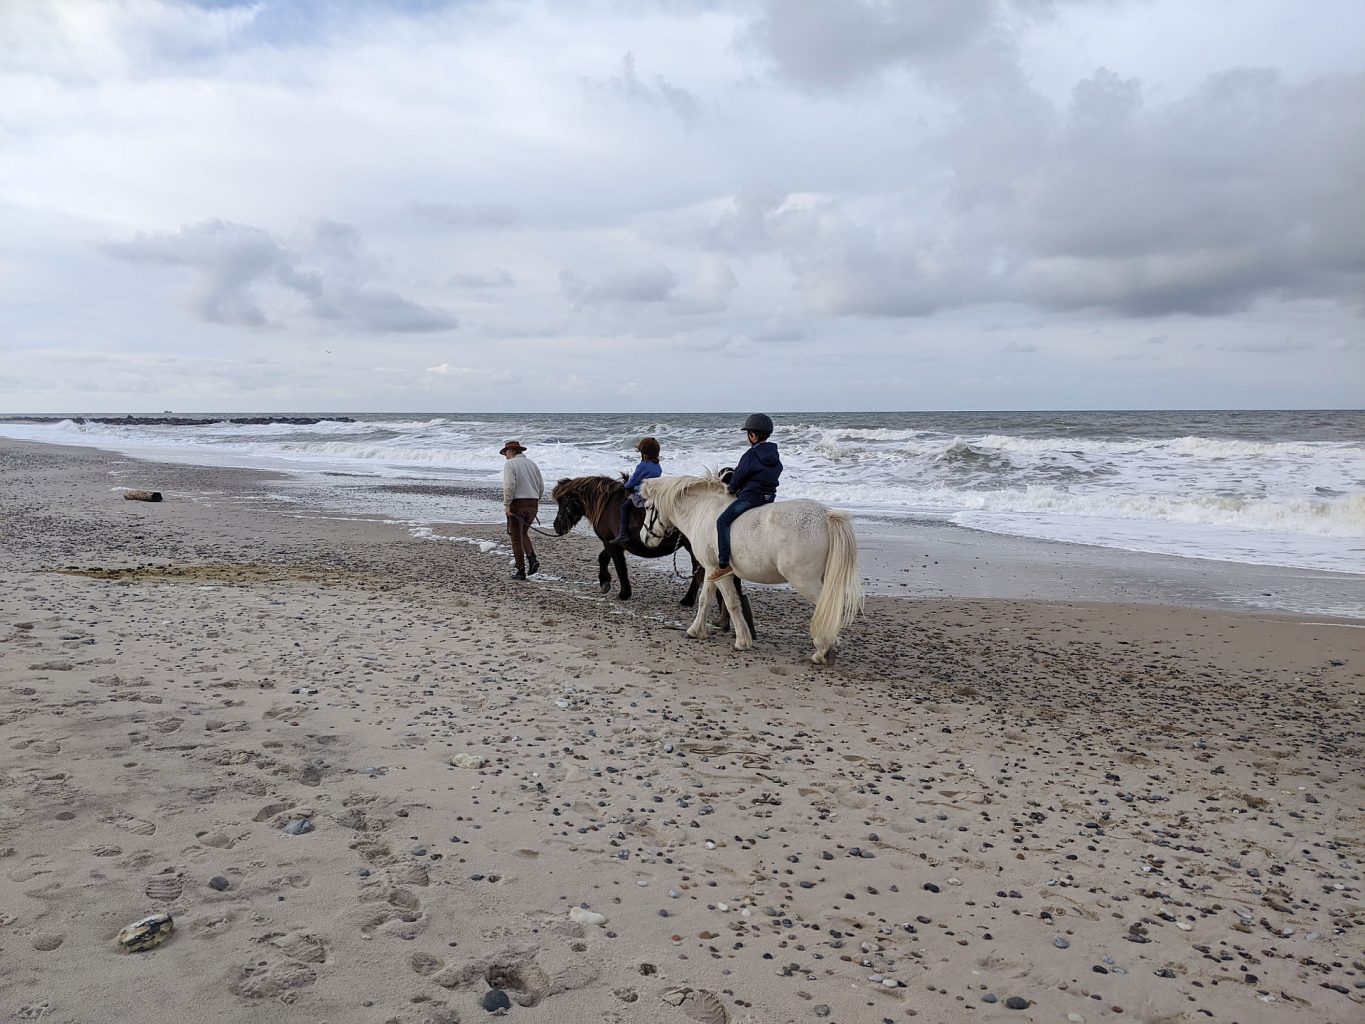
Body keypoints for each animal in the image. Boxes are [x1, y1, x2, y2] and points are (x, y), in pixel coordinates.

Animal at [641, 472, 862, 666]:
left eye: (648, 507)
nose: (645, 537)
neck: (704, 511)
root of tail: (826, 515)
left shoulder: (717, 570)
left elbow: (730, 602)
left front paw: (742, 641)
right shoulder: (711, 570)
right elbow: (705, 600)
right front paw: (696, 631)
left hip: (805, 581)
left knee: (827, 609)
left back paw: (822, 651)